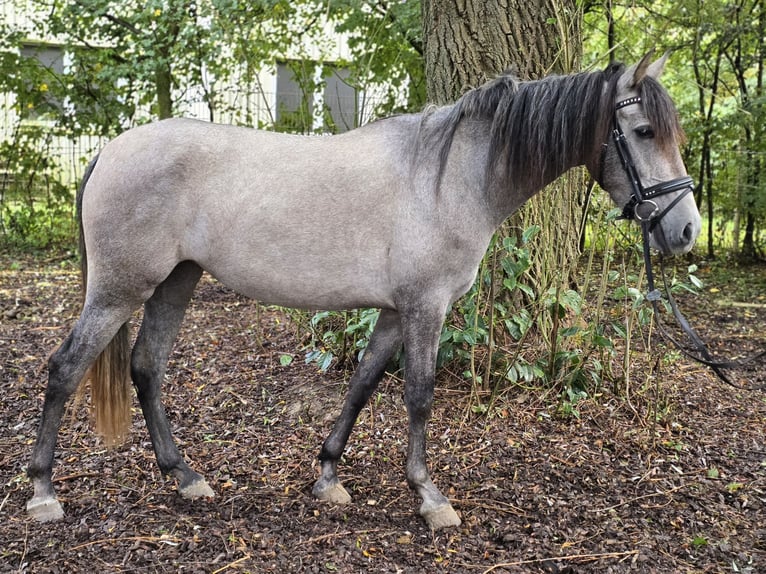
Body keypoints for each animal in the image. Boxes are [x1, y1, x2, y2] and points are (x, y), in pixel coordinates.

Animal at [25, 54, 704, 532]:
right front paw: (429, 497)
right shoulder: (426, 306)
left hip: (176, 280)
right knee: (65, 368)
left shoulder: (394, 311)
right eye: (644, 130)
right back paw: (43, 492)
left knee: (146, 367)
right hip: (120, 289)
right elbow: (419, 394)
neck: (448, 177)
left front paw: (327, 477)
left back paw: (185, 475)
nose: (686, 229)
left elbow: (363, 382)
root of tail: (110, 149)